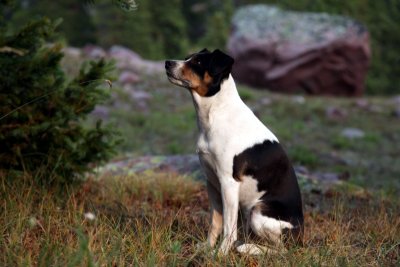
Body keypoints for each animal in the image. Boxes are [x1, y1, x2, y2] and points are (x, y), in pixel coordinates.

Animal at [166, 48, 304, 255]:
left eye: (198, 62)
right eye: (186, 58)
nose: (167, 63)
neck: (216, 114)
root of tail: (300, 234)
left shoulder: (228, 183)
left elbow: (228, 227)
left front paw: (221, 254)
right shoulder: (212, 183)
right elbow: (215, 222)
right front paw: (207, 248)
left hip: (258, 212)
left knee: (283, 250)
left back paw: (247, 248)